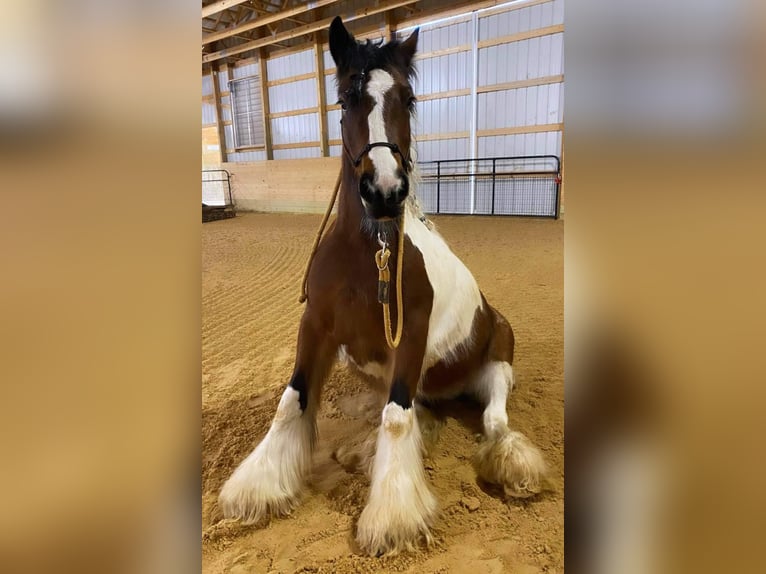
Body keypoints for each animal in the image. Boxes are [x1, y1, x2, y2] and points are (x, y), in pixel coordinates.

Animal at [219, 16, 548, 560]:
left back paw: (514, 466)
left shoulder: (409, 335)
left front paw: (393, 518)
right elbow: (292, 402)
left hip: (498, 361)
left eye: (408, 98)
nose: (385, 191)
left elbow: (396, 417)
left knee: (493, 420)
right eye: (345, 98)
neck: (367, 257)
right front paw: (258, 487)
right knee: (420, 413)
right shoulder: (316, 327)